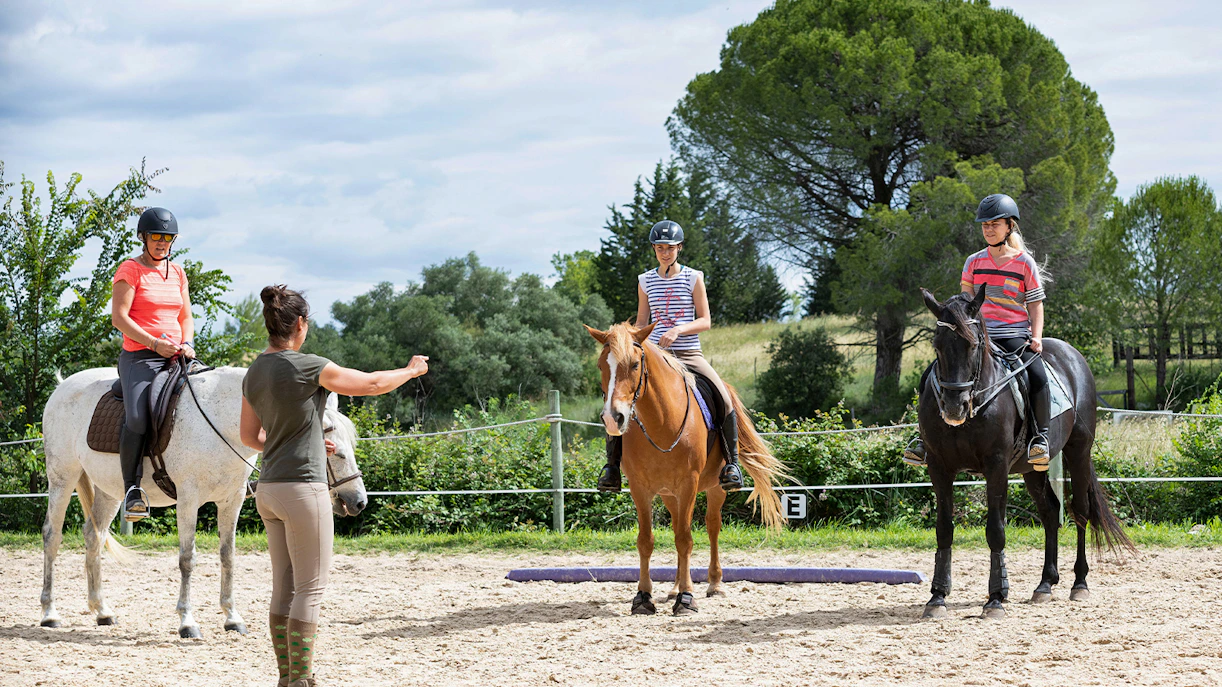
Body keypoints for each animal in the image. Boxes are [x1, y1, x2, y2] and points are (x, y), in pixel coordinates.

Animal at [39, 365, 367, 638]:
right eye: (332, 450)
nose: (358, 501)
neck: (223, 423)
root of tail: (63, 385)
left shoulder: (232, 500)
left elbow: (228, 557)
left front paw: (232, 618)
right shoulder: (188, 499)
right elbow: (187, 559)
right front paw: (187, 622)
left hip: (109, 491)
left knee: (94, 537)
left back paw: (102, 612)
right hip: (62, 479)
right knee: (52, 536)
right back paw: (49, 614)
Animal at [585, 322, 786, 616]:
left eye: (634, 364)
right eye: (602, 365)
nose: (613, 419)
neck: (661, 422)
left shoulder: (688, 484)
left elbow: (686, 539)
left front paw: (687, 597)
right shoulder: (640, 488)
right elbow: (646, 540)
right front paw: (643, 596)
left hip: (714, 488)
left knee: (712, 526)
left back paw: (714, 584)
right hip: (669, 494)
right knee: (678, 525)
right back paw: (674, 587)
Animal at [917, 288, 1134, 619]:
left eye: (973, 344)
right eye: (937, 346)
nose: (955, 407)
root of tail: (1072, 354)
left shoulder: (996, 466)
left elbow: (996, 530)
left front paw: (995, 598)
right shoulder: (939, 467)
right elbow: (944, 529)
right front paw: (937, 597)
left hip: (1079, 451)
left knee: (1080, 510)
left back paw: (1079, 584)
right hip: (1032, 470)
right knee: (1050, 511)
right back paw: (1045, 584)